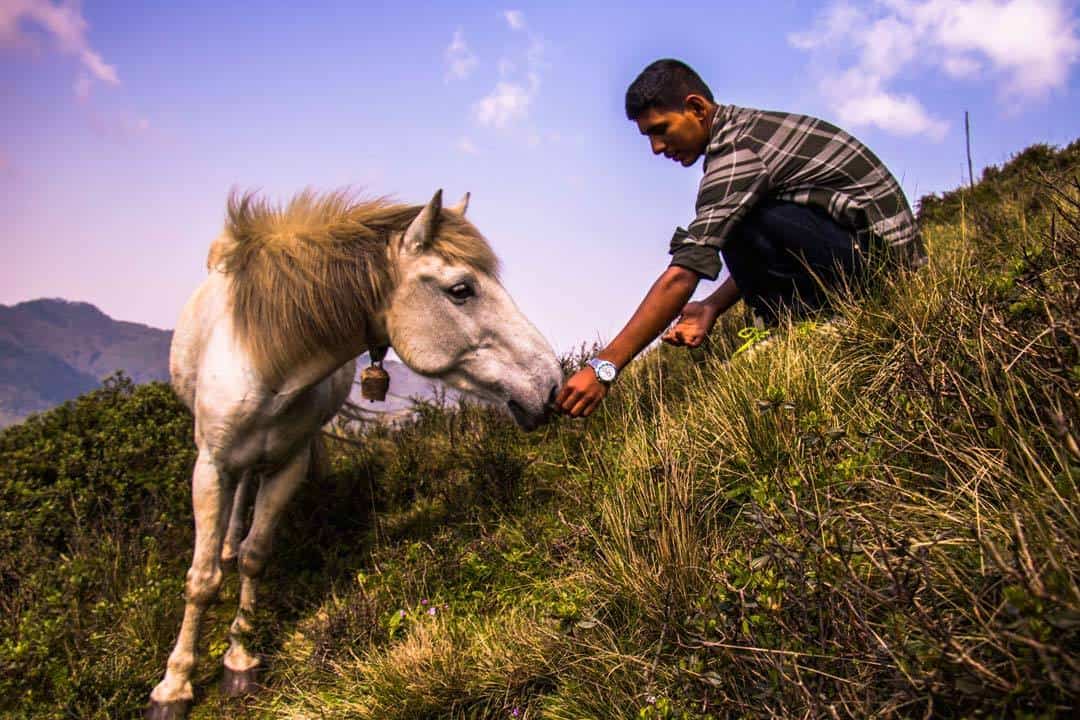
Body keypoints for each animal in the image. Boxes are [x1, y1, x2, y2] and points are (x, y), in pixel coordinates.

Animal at [147, 188, 561, 716]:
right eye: (461, 289)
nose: (552, 383)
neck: (269, 361)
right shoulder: (210, 465)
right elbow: (200, 580)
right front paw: (174, 685)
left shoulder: (289, 464)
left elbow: (256, 556)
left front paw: (239, 659)